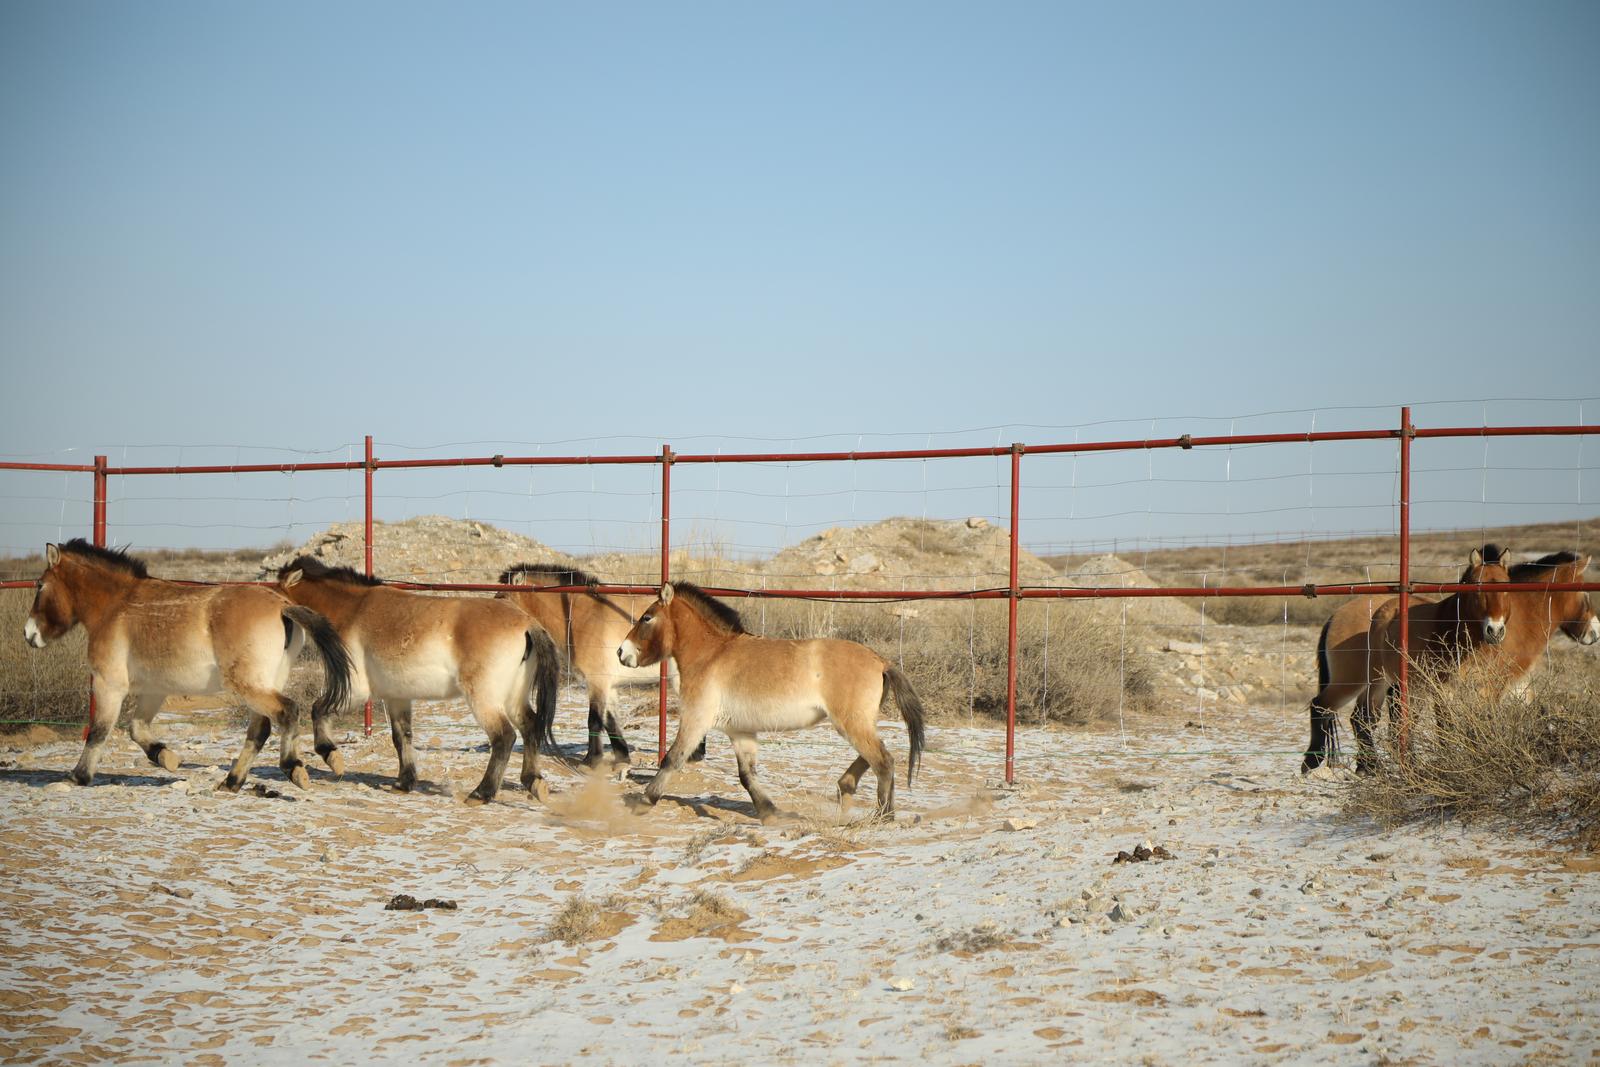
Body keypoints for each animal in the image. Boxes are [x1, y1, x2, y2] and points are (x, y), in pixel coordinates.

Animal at [25, 537, 352, 790]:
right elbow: (136, 728)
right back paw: (231, 782)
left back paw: (293, 768)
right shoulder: (154, 690)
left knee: (287, 711)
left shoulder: (109, 684)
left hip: (249, 685)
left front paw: (78, 776)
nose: (29, 634)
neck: (115, 607)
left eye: (40, 585)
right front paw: (167, 758)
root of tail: (284, 606)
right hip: (262, 683)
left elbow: (99, 731)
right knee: (259, 730)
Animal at [280, 559, 563, 799]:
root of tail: (528, 623)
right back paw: (534, 782)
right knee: (530, 726)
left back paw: (480, 794)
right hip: (514, 696)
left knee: (504, 737)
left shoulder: (357, 689)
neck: (354, 609)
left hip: (484, 698)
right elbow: (402, 736)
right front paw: (404, 782)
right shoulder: (396, 696)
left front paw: (331, 757)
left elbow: (318, 709)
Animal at [492, 559, 681, 767]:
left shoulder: (597, 681)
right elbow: (610, 722)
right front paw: (622, 758)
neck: (583, 617)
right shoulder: (608, 685)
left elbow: (594, 720)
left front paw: (591, 760)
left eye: (502, 596)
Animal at [617, 588, 934, 825]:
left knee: (883, 760)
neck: (712, 655)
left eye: (647, 617)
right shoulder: (740, 732)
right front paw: (769, 812)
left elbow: (672, 758)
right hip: (857, 722)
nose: (621, 652)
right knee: (874, 758)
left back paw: (884, 816)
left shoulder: (696, 720)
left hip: (851, 723)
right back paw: (849, 791)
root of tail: (880, 661)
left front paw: (644, 801)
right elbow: (747, 775)